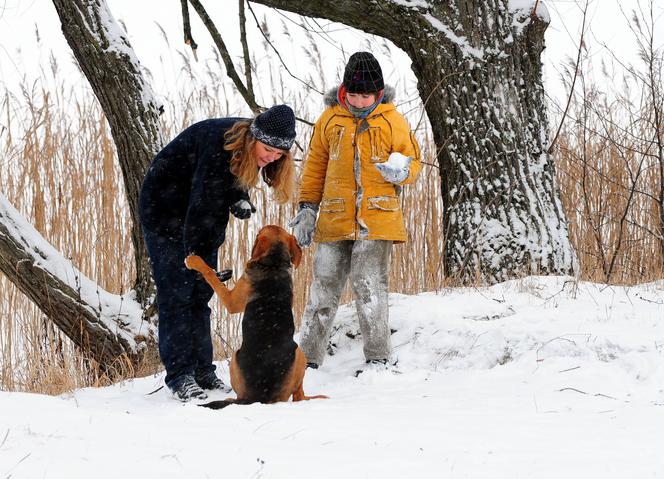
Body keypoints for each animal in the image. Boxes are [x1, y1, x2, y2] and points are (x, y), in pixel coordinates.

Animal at [184, 225, 326, 408]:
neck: (274, 264)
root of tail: (258, 397)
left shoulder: (232, 301)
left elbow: (211, 274)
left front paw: (195, 261)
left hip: (238, 358)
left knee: (296, 396)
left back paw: (230, 399)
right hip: (299, 355)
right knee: (298, 395)